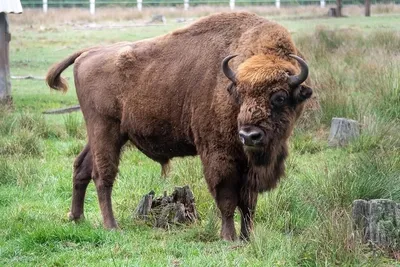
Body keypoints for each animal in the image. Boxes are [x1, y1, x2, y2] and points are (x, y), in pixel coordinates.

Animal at [46, 12, 312, 241]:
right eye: (239, 94)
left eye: (279, 97)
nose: (249, 135)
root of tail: (88, 52)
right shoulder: (219, 155)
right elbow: (227, 198)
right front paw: (228, 237)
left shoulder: (250, 166)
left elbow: (249, 203)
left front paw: (248, 238)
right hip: (104, 129)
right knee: (102, 175)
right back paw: (112, 226)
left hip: (105, 134)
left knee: (81, 167)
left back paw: (77, 218)